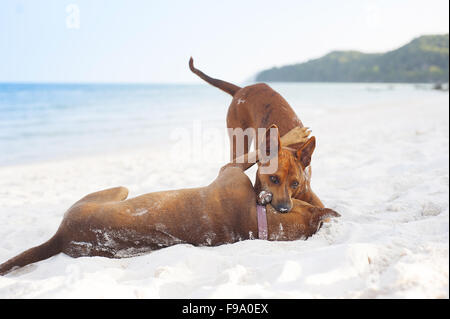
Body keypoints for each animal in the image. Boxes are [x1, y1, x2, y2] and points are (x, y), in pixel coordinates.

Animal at [0, 126, 338, 276]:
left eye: (295, 185)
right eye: (279, 182)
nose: (282, 205)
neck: (260, 222)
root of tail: (60, 237)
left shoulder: (227, 170)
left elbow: (256, 151)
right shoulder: (231, 171)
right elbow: (261, 149)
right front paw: (289, 137)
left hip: (115, 191)